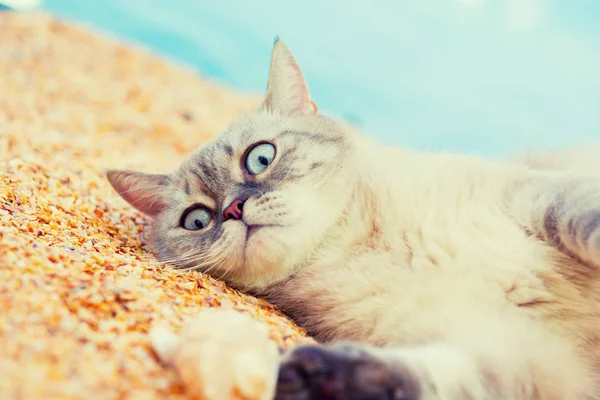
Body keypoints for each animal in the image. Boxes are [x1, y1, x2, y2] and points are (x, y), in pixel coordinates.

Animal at [105, 38, 600, 400]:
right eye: (197, 220)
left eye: (260, 158)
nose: (233, 210)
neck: (361, 246)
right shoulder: (514, 358)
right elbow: (429, 379)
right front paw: (320, 376)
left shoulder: (534, 195)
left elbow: (579, 219)